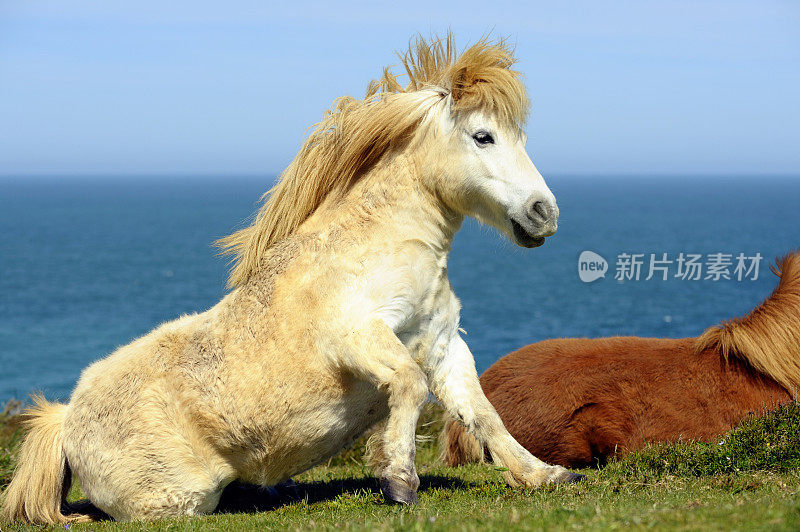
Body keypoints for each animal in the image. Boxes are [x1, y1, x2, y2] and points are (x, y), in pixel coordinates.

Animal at [0, 35, 576, 524]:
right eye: (483, 136)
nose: (544, 213)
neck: (379, 246)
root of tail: (65, 419)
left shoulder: (442, 346)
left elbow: (484, 414)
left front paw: (544, 474)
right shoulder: (356, 335)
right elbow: (408, 385)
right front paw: (398, 479)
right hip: (180, 498)